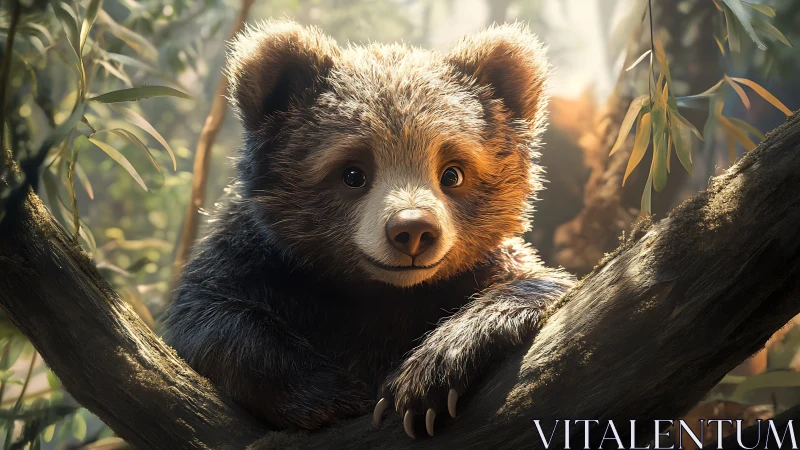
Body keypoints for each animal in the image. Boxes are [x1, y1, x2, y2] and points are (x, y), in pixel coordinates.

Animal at [161, 19, 575, 439]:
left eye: (452, 173)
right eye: (353, 173)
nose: (413, 230)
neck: (382, 293)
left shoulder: (478, 269)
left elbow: (539, 284)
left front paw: (429, 374)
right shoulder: (259, 261)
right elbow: (211, 317)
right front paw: (335, 394)